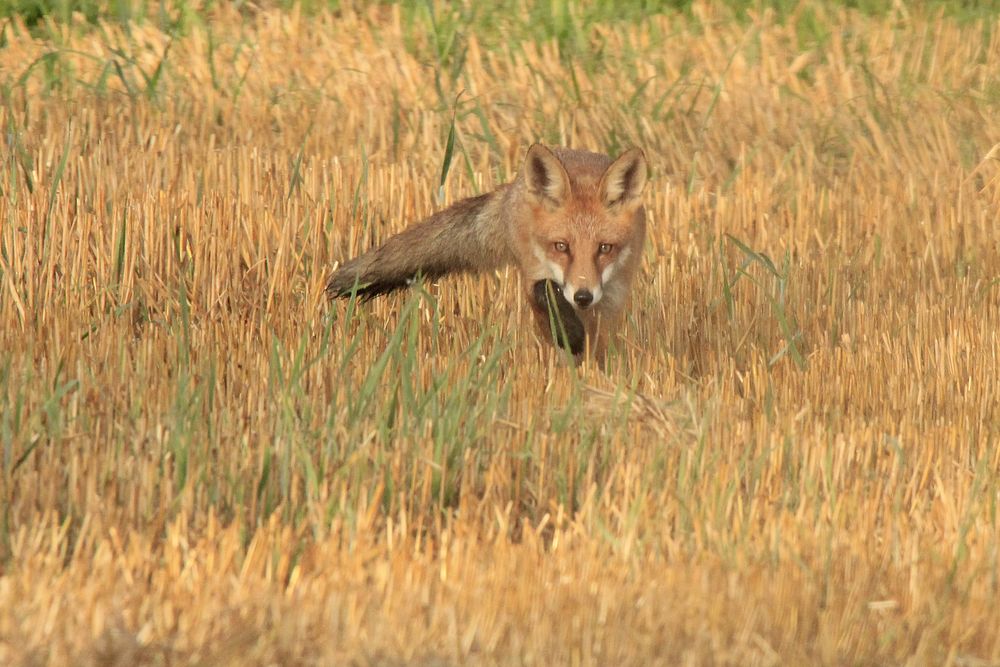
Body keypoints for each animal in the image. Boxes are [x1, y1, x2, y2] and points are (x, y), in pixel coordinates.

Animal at [328, 144, 648, 362]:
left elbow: (599, 342)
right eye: (561, 246)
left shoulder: (612, 297)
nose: (583, 296)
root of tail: (514, 186)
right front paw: (568, 338)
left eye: (605, 248)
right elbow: (545, 294)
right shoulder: (535, 275)